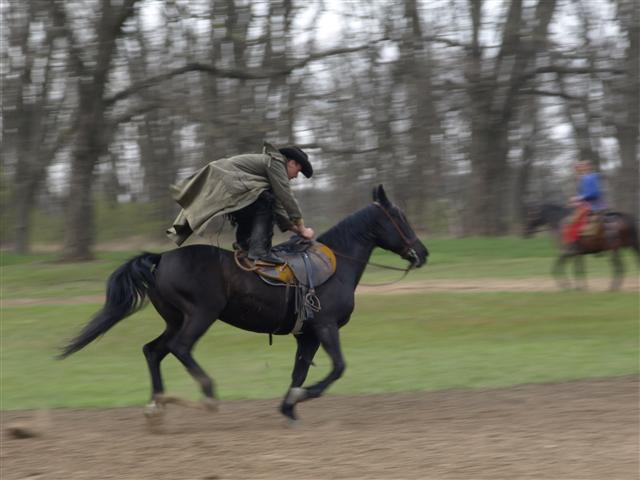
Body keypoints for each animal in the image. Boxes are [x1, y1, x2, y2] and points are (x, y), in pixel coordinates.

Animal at [61, 186, 430, 422]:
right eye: (400, 218)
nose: (422, 252)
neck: (337, 265)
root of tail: (161, 258)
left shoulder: (307, 335)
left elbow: (299, 371)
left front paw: (288, 407)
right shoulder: (325, 328)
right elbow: (337, 368)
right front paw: (300, 397)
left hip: (175, 319)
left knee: (153, 351)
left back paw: (157, 404)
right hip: (200, 315)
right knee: (180, 348)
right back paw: (208, 394)